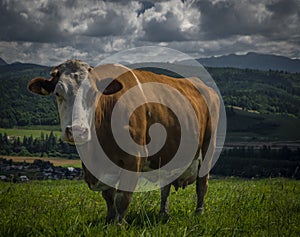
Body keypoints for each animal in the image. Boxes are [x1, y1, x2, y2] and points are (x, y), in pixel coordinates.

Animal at [28, 60, 219, 223]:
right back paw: (163, 213)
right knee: (165, 187)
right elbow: (109, 197)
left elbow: (122, 197)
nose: (77, 131)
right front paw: (109, 220)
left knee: (202, 183)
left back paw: (198, 213)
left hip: (209, 146)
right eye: (58, 93)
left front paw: (118, 225)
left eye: (93, 93)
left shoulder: (134, 157)